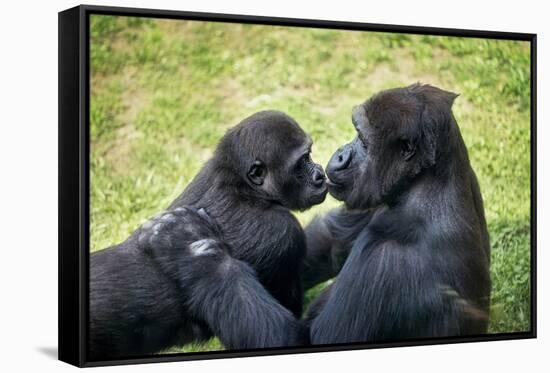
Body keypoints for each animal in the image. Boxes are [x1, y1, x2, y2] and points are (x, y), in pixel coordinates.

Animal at [306, 84, 492, 342]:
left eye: (363, 141)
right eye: (356, 133)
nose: (341, 154)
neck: (424, 181)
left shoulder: (384, 260)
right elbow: (330, 239)